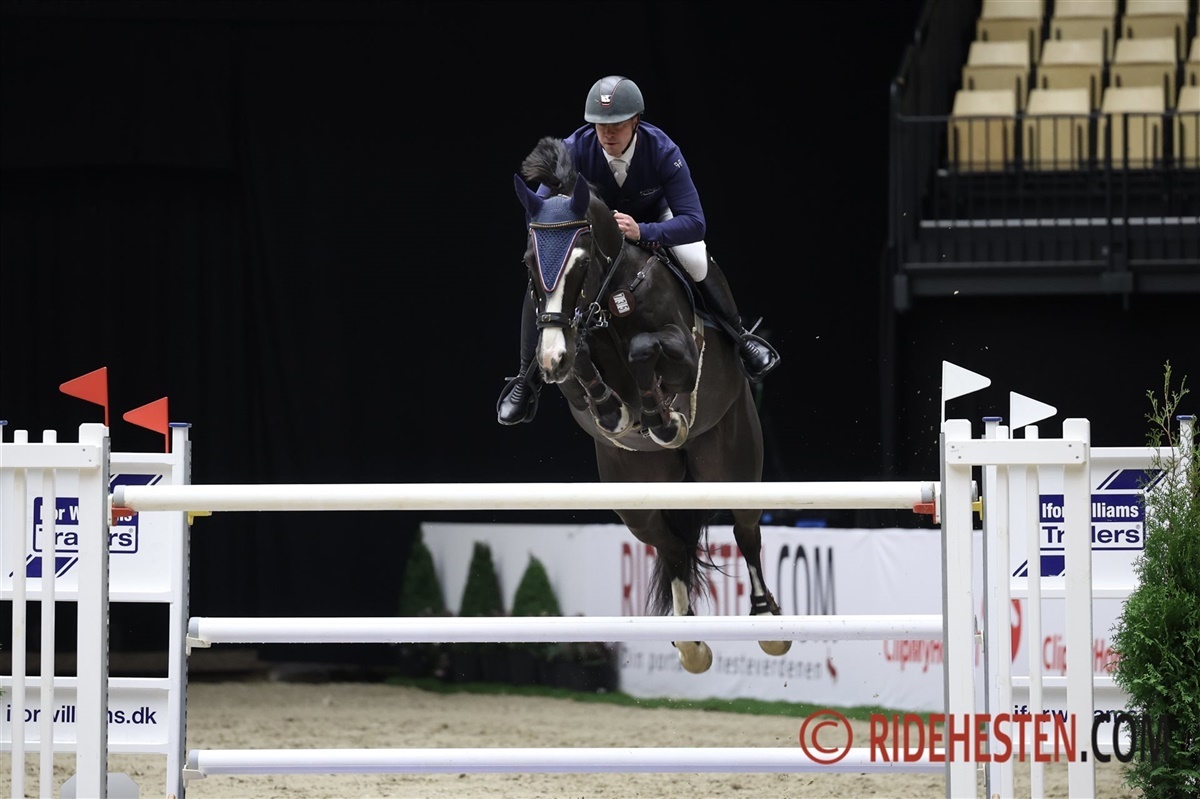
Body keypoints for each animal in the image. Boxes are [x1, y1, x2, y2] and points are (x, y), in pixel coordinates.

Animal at [511, 136, 790, 673]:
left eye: (580, 262)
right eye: (529, 264)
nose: (550, 357)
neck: (606, 300)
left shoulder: (682, 354)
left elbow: (645, 350)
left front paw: (662, 417)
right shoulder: (568, 359)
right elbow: (582, 372)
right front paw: (613, 409)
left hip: (731, 463)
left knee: (746, 530)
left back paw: (768, 622)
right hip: (635, 492)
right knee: (671, 545)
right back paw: (690, 643)